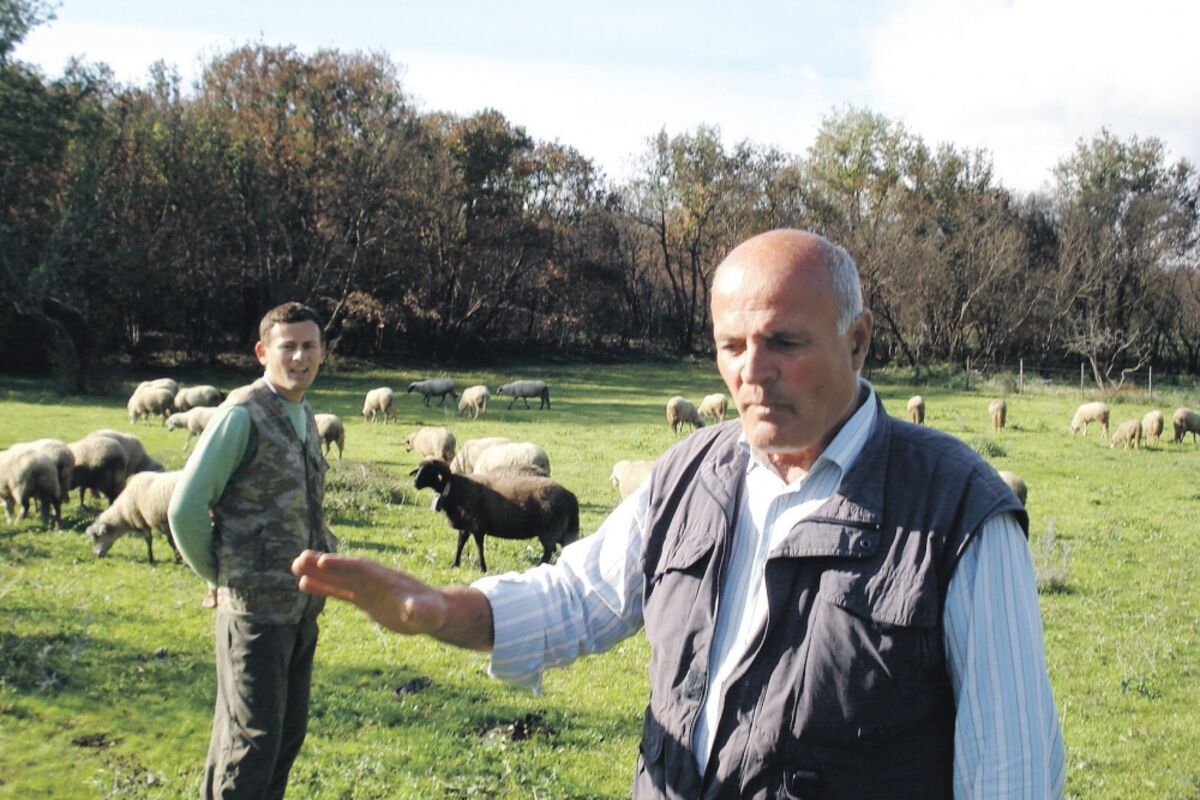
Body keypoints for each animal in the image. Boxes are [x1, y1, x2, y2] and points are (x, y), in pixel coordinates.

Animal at [411, 458, 578, 572]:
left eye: (431, 470)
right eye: (418, 469)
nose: (415, 483)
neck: (455, 488)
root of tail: (571, 496)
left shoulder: (477, 525)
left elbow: (479, 548)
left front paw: (482, 568)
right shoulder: (466, 525)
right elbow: (460, 545)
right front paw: (455, 564)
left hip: (549, 531)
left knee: (548, 552)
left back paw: (536, 566)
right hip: (563, 532)